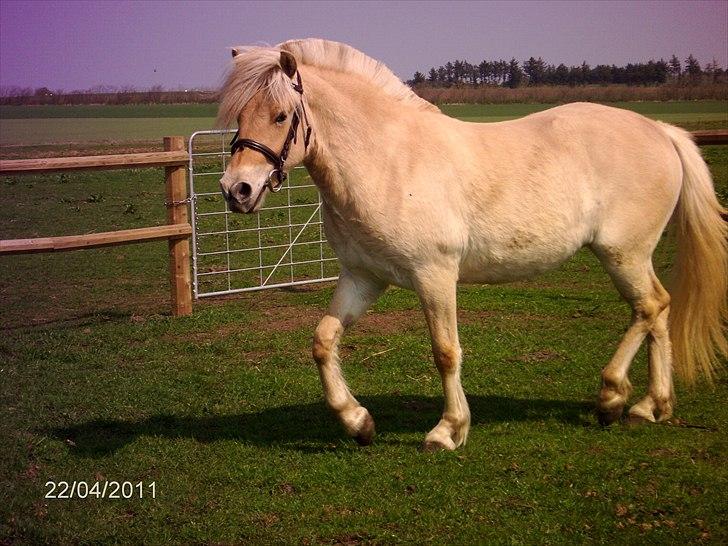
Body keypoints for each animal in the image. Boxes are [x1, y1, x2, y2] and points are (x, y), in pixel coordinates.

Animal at [216, 39, 728, 450]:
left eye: (281, 115)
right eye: (240, 115)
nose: (236, 189)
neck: (390, 160)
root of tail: (661, 130)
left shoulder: (435, 276)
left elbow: (446, 351)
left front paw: (448, 430)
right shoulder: (363, 277)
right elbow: (323, 341)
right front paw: (358, 422)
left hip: (623, 252)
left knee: (649, 308)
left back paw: (612, 398)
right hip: (633, 256)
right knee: (658, 310)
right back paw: (652, 406)